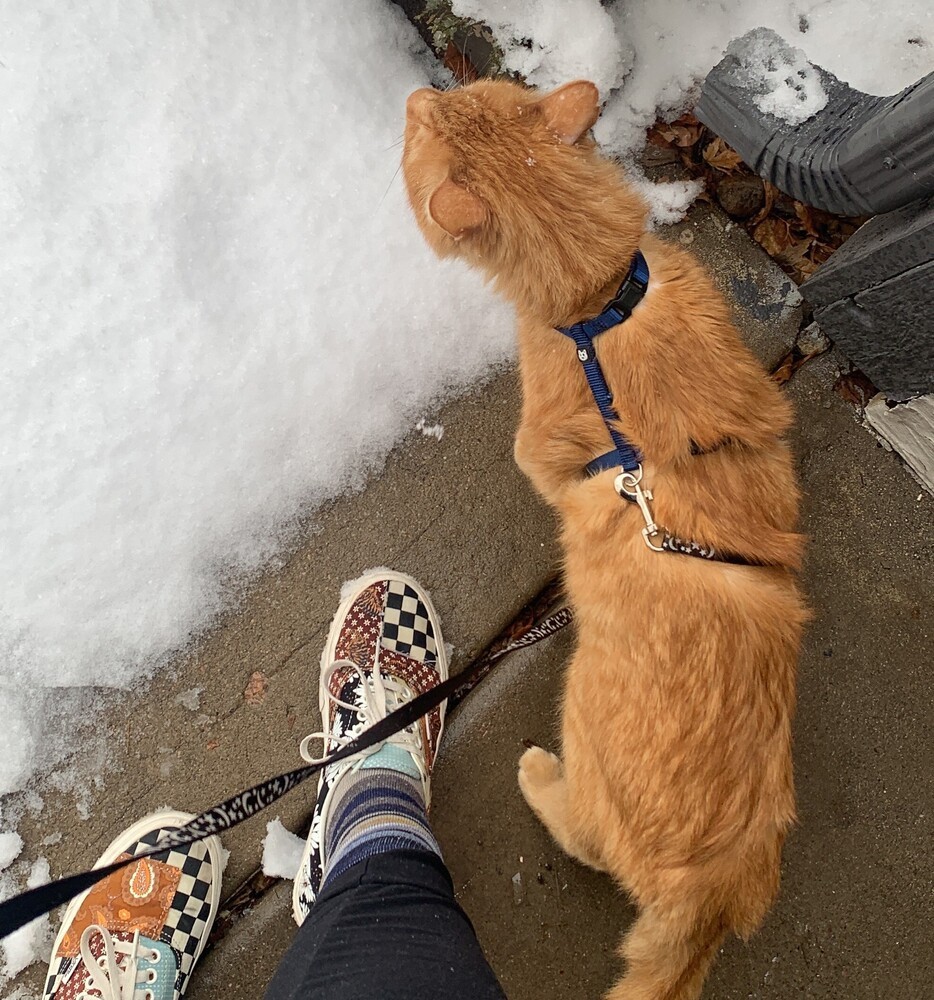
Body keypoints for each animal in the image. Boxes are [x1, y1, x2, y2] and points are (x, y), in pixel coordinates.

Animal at [406, 80, 808, 1000]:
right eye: (457, 93)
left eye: (418, 125)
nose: (414, 90)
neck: (600, 300)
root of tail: (713, 890)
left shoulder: (537, 451)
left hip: (580, 728)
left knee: (582, 833)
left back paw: (539, 776)